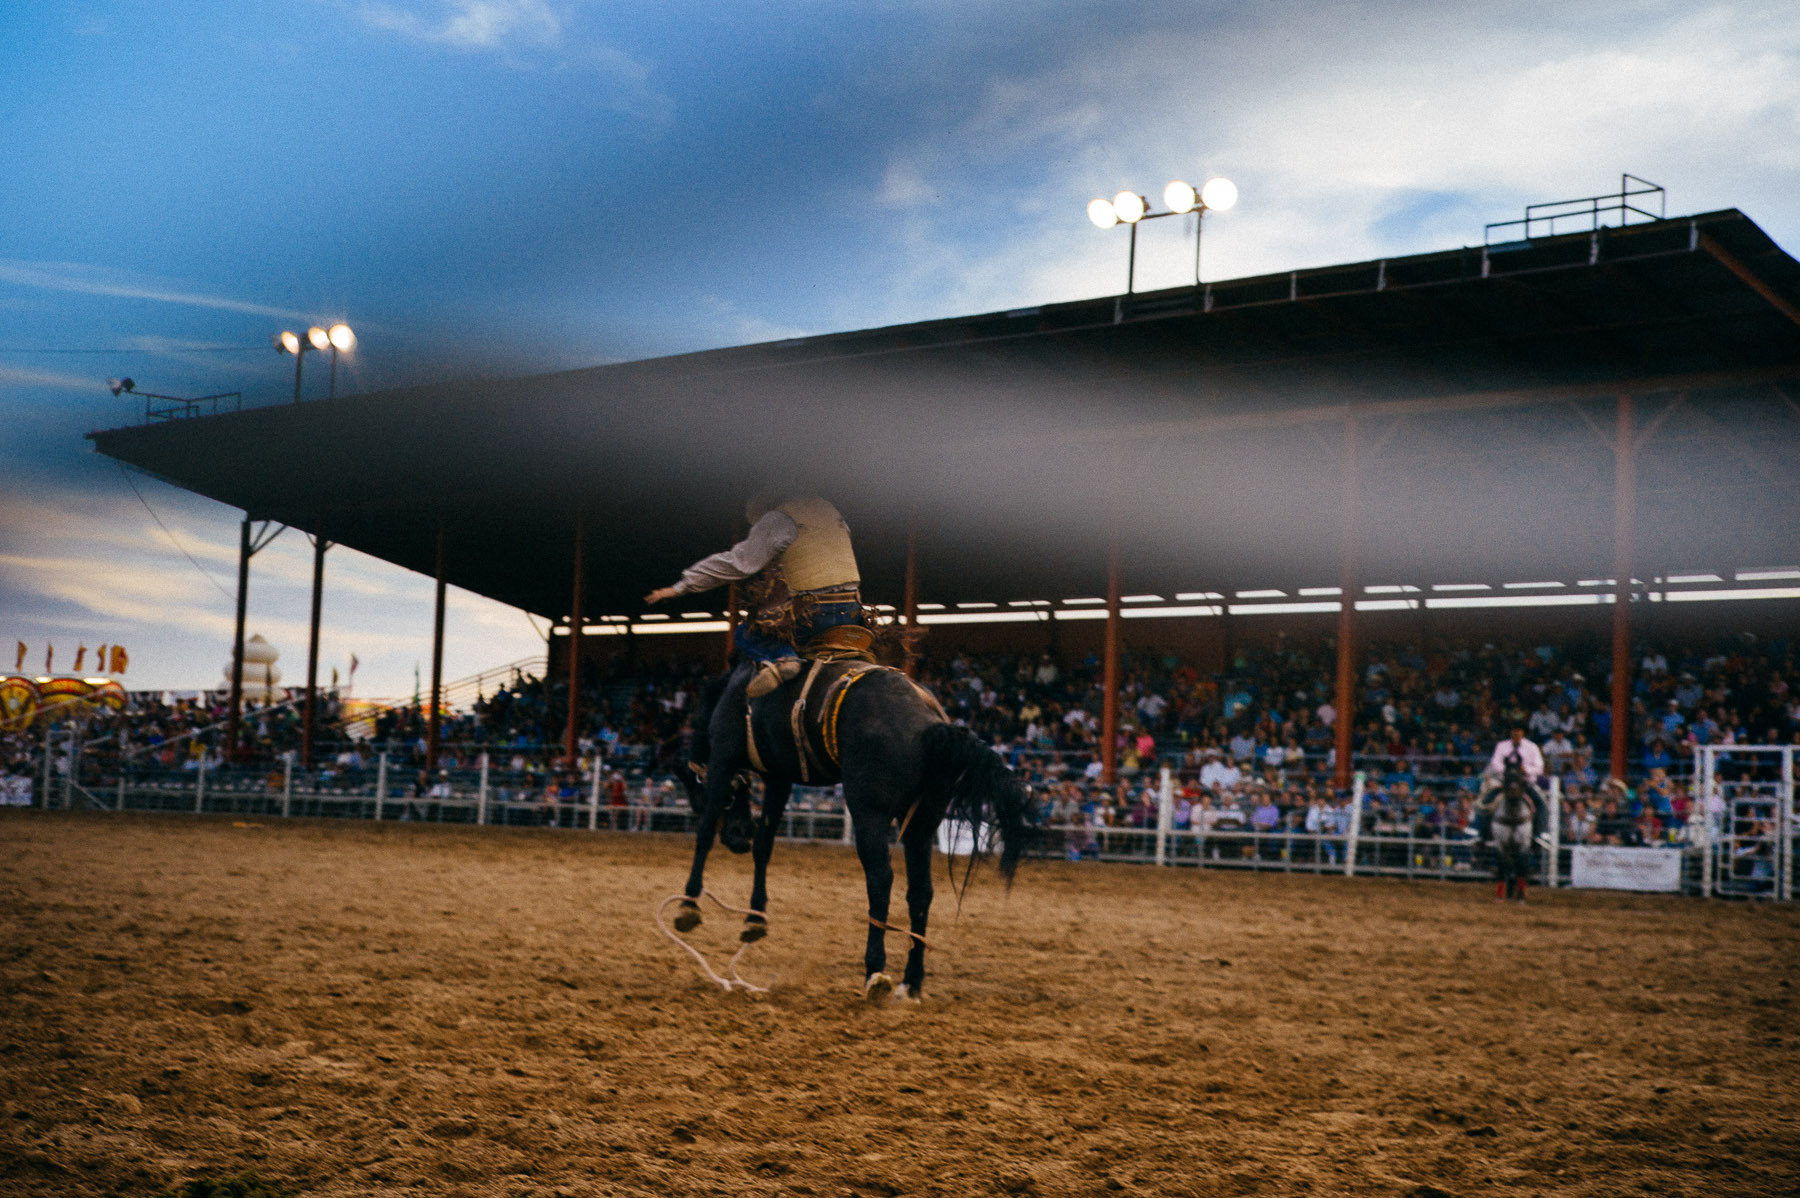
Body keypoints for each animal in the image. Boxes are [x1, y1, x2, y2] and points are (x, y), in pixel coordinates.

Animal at [673, 658, 1022, 992]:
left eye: (693, 787)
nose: (737, 838)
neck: (734, 692)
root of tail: (930, 722)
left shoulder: (723, 761)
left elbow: (704, 832)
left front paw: (689, 905)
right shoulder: (779, 778)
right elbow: (764, 846)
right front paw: (754, 919)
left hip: (870, 812)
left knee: (880, 879)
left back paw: (875, 971)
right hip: (922, 821)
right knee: (920, 890)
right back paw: (911, 980)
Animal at [1483, 755, 1540, 895]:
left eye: (1520, 775)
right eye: (1506, 775)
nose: (1513, 792)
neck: (1512, 813)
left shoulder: (1524, 843)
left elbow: (1521, 865)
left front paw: (1520, 895)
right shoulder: (1500, 843)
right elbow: (1503, 865)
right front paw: (1500, 894)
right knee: (1510, 864)